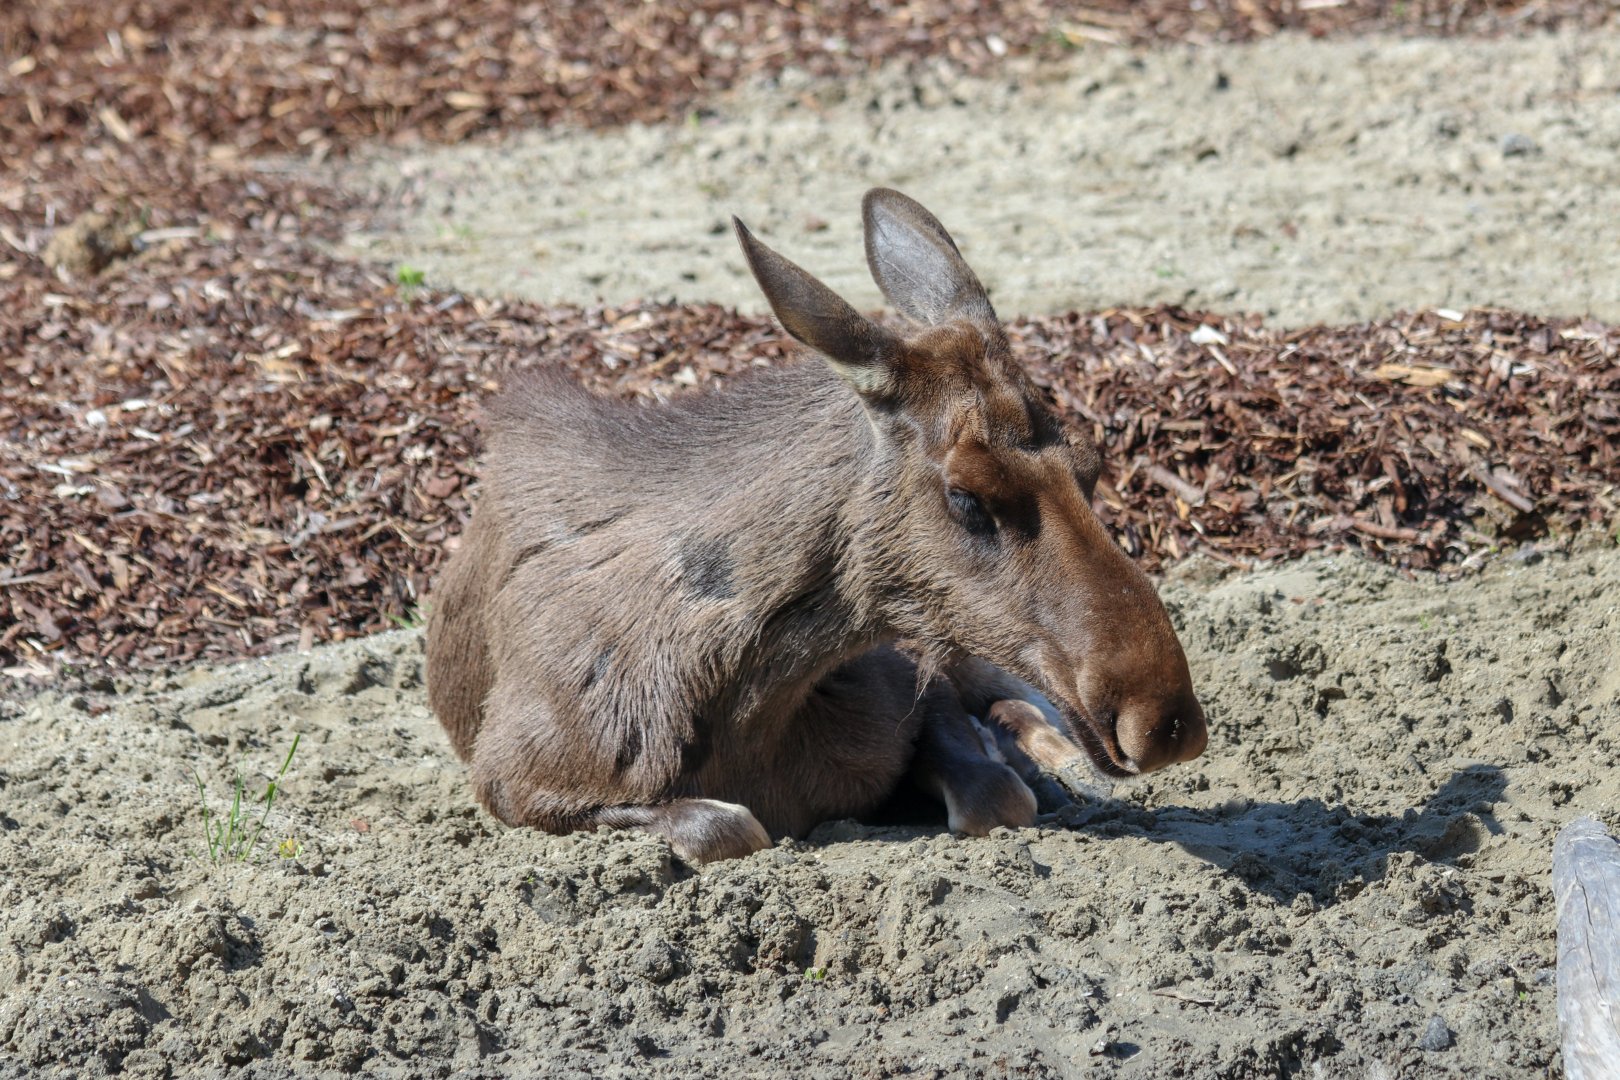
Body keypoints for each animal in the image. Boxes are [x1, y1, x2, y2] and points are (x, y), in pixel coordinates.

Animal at [425, 188, 1207, 864]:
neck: (754, 698)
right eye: (966, 496)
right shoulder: (513, 780)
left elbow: (994, 792)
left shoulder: (909, 675)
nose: (1163, 720)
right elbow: (726, 826)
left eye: (1093, 463)